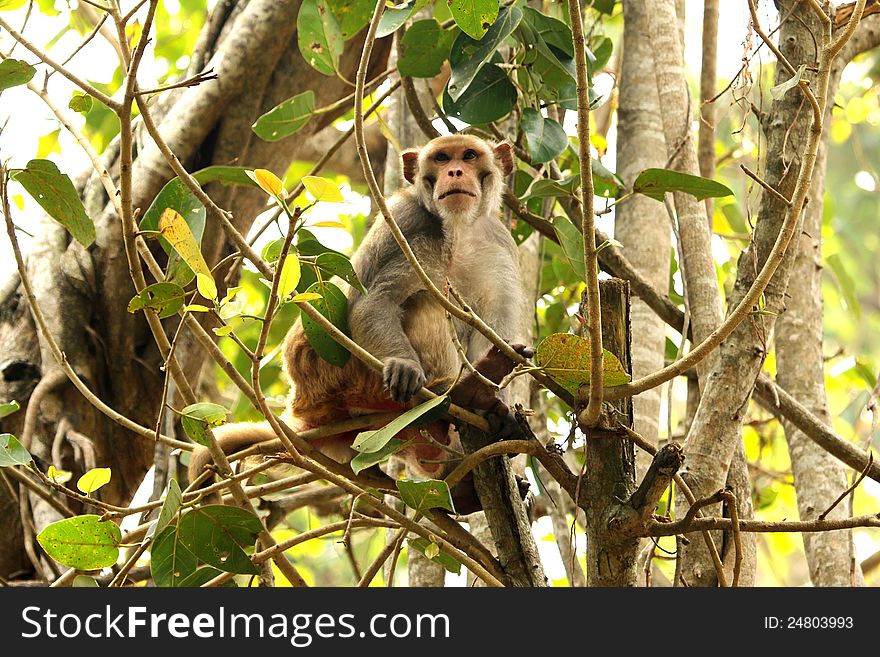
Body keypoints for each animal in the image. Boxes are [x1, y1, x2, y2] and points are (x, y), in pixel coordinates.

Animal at [191, 133, 528, 512]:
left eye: (469, 156)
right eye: (441, 159)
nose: (455, 171)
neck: (458, 227)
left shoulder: (499, 245)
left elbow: (494, 331)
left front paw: (497, 398)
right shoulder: (405, 220)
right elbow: (373, 302)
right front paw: (405, 365)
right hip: (338, 376)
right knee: (422, 298)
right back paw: (457, 393)